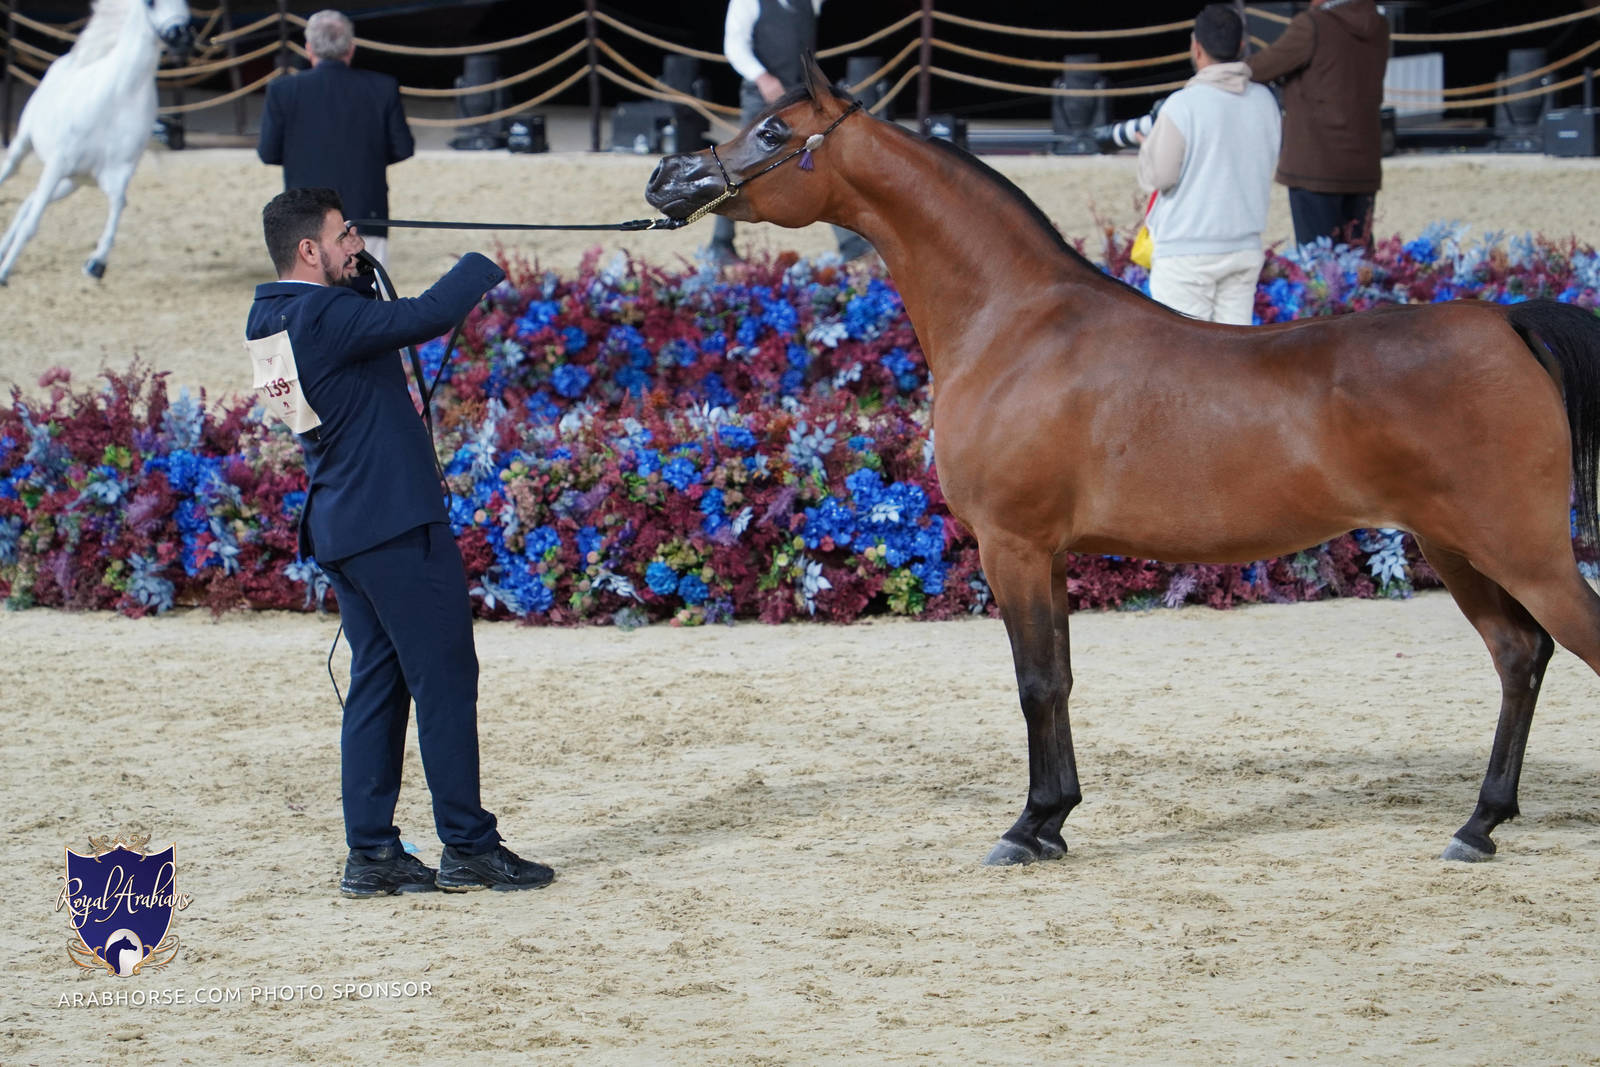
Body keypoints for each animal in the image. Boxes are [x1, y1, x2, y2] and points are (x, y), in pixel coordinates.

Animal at [0, 0, 194, 284]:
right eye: (151, 3)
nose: (183, 38)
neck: (118, 97)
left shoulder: (115, 174)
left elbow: (119, 204)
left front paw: (96, 264)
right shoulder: (57, 165)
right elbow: (31, 225)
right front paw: (3, 274)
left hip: (72, 183)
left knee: (29, 202)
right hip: (26, 146)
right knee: (14, 179)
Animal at [645, 56, 1600, 867]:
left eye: (774, 128)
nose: (668, 178)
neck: (1014, 324)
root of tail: (1504, 320)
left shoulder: (1012, 544)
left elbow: (1034, 682)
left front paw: (1026, 826)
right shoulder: (1049, 553)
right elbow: (1062, 678)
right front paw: (1055, 819)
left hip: (1521, 551)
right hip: (1456, 548)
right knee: (1519, 655)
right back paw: (1478, 824)